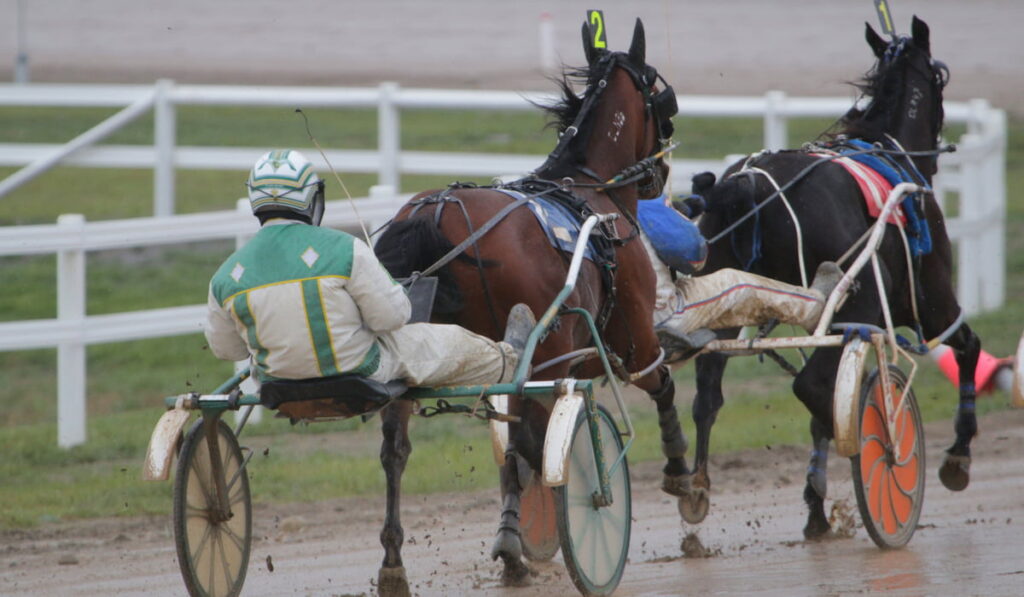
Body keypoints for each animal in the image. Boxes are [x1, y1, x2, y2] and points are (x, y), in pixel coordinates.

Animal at [372, 17, 684, 593]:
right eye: (661, 94)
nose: (660, 174)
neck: (591, 192)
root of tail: (437, 211)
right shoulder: (623, 343)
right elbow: (658, 383)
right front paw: (684, 478)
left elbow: (519, 450)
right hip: (542, 354)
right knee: (530, 445)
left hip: (419, 359)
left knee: (395, 451)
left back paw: (394, 563)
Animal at [684, 16, 978, 540]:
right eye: (940, 78)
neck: (885, 150)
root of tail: (750, 183)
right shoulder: (928, 301)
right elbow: (966, 346)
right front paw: (956, 458)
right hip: (855, 303)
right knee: (815, 390)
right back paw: (874, 449)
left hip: (726, 300)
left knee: (709, 393)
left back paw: (702, 487)